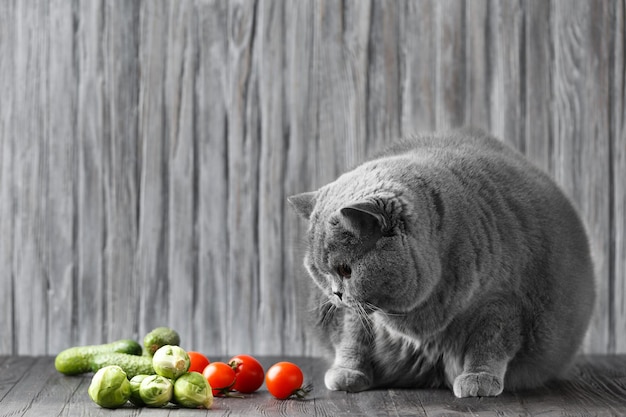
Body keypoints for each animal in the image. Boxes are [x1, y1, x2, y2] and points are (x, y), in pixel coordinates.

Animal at [288, 129, 596, 396]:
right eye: (320, 273)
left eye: (345, 270)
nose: (336, 294)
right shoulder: (357, 314)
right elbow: (352, 337)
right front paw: (346, 374)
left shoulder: (502, 303)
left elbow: (488, 344)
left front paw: (478, 379)